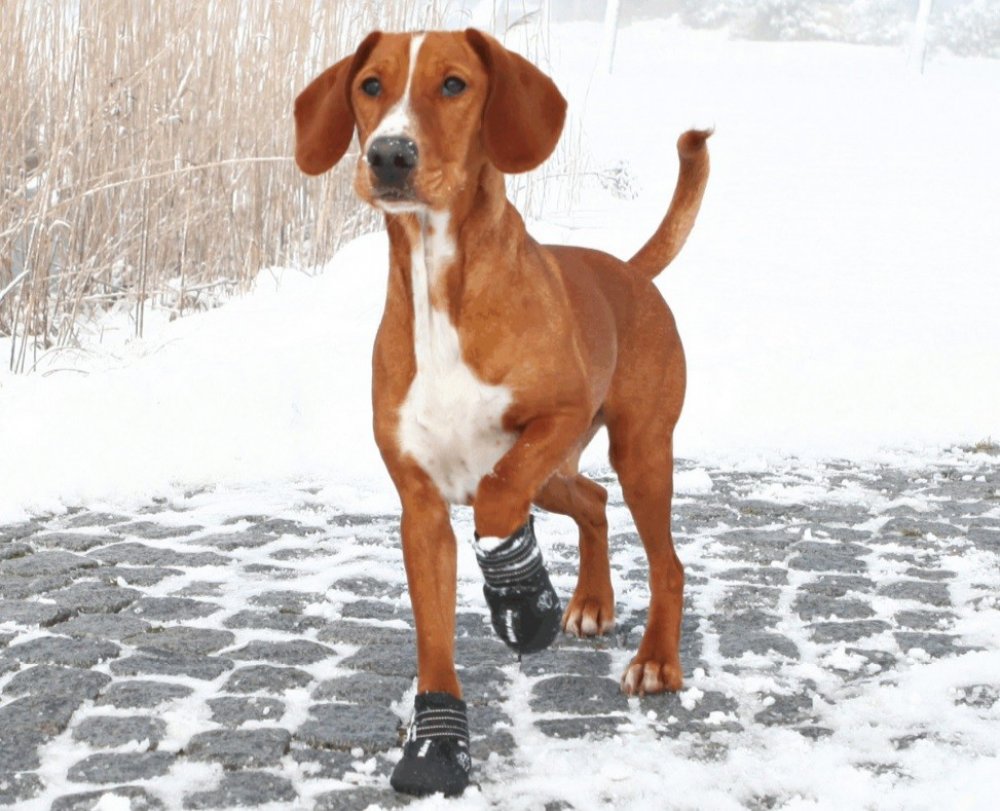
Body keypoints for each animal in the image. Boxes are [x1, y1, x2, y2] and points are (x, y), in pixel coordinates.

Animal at [294, 28, 709, 796]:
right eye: (370, 85)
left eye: (455, 84)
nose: (389, 155)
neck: (438, 285)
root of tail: (629, 271)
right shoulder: (421, 507)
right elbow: (433, 640)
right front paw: (437, 747)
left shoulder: (552, 421)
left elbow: (495, 492)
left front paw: (520, 596)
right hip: (562, 475)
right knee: (593, 501)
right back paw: (589, 600)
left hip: (639, 450)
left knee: (665, 560)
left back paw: (655, 660)